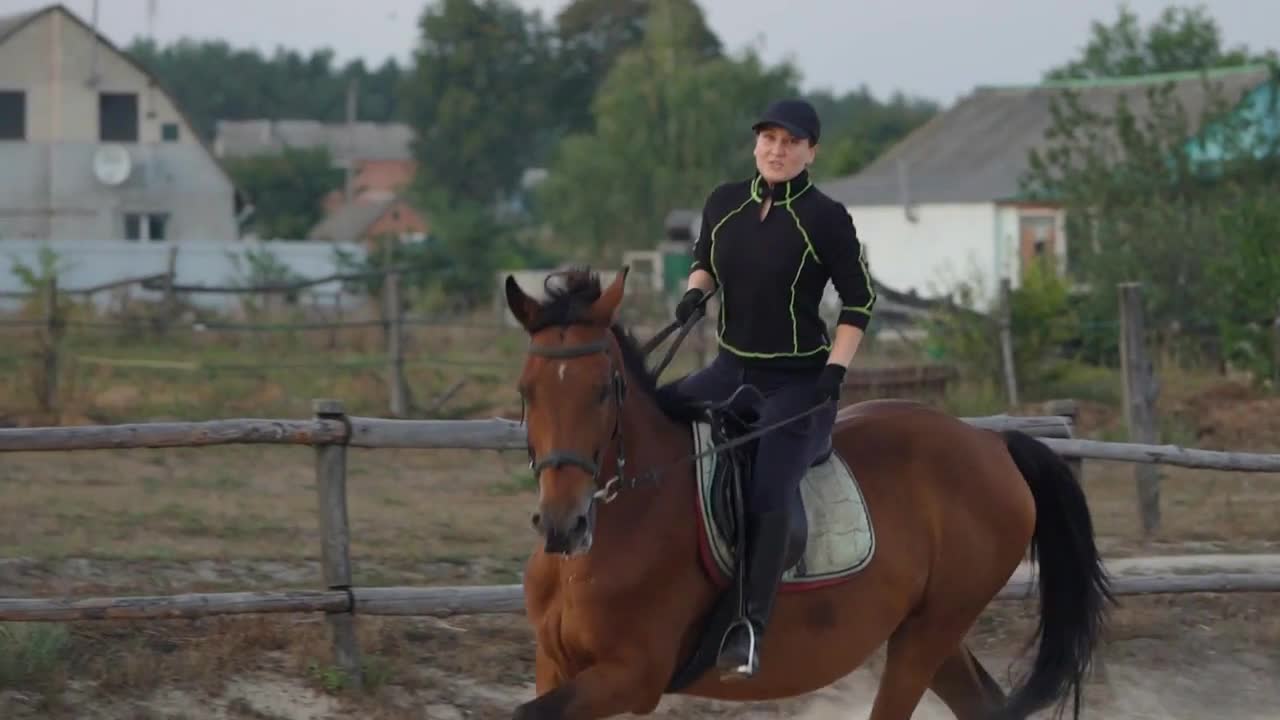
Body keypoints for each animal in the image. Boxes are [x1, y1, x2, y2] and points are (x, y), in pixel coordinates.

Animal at [499, 266, 1111, 712]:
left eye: (606, 390)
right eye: (526, 390)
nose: (563, 525)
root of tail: (990, 442)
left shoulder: (632, 673)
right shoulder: (555, 665)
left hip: (929, 632)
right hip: (933, 631)